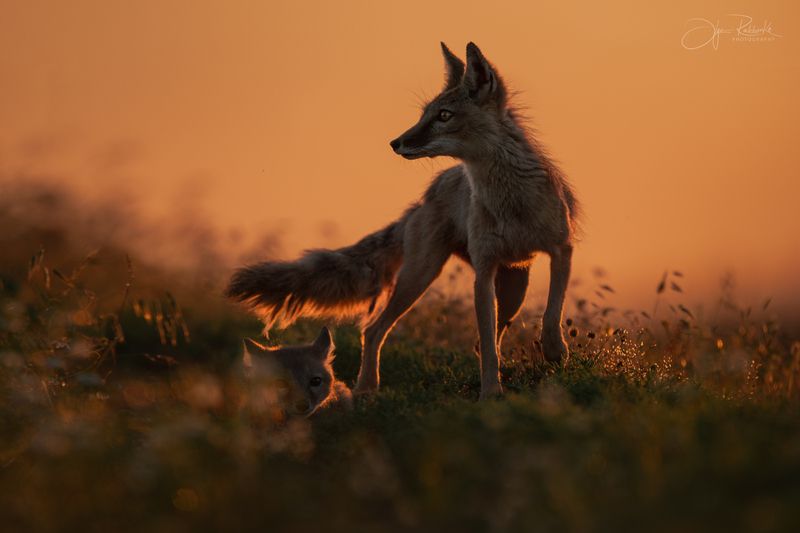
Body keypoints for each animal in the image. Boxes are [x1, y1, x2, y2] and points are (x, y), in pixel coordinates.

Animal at [227, 42, 579, 400]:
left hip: (512, 290)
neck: (512, 202)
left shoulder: (561, 249)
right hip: (422, 276)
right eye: (424, 114)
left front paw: (554, 351)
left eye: (444, 116)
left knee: (487, 337)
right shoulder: (483, 272)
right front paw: (491, 392)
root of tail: (422, 199)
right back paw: (366, 388)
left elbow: (551, 312)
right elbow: (491, 344)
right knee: (374, 329)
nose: (396, 142)